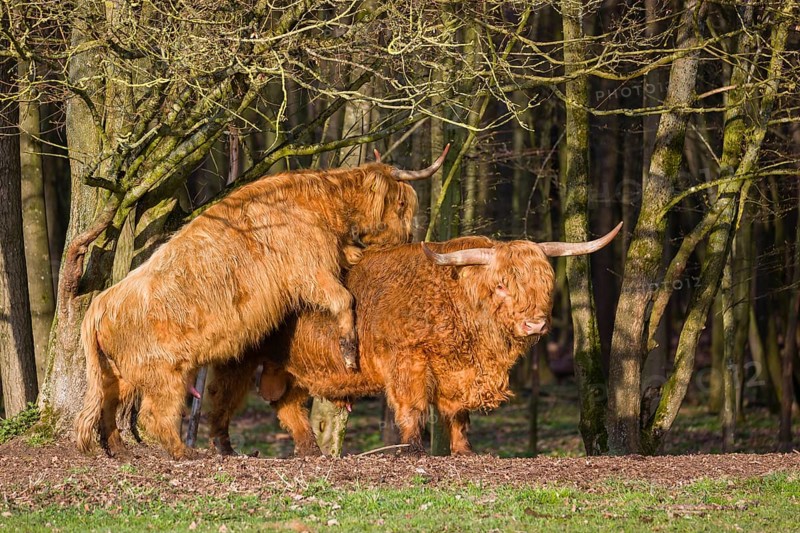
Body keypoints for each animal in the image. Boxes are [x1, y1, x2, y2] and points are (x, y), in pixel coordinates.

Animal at [74, 147, 449, 460]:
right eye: (401, 205)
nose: (409, 239)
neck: (322, 203)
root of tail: (100, 303)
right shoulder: (309, 271)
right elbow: (344, 299)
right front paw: (348, 349)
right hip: (165, 372)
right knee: (153, 414)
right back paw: (184, 453)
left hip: (120, 373)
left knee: (108, 406)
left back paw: (121, 450)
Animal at [206, 223, 622, 456]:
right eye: (502, 285)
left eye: (544, 284)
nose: (535, 324)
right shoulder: (407, 362)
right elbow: (413, 408)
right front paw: (414, 449)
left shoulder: (457, 374)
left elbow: (458, 415)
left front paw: (466, 452)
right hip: (237, 359)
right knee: (221, 398)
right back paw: (223, 448)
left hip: (290, 368)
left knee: (288, 406)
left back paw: (309, 451)